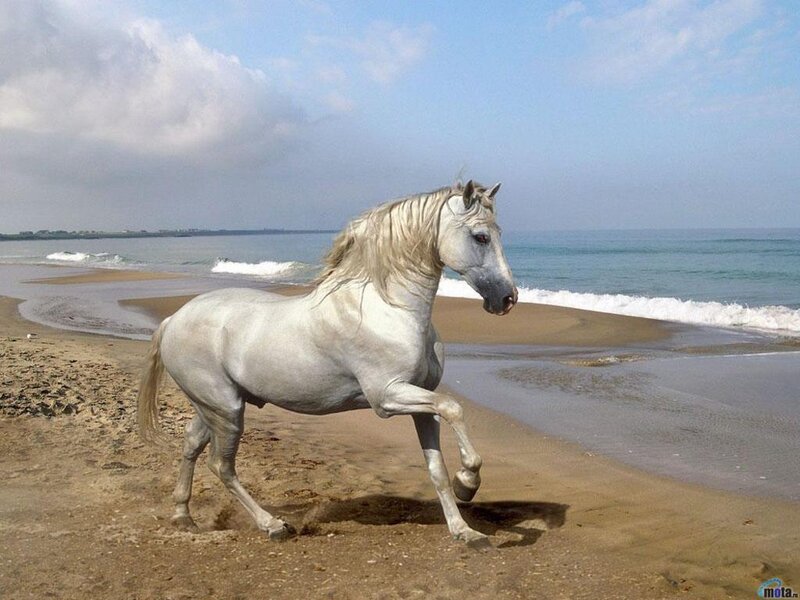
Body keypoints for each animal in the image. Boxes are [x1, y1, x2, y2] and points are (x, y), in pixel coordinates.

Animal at [137, 180, 517, 545]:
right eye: (480, 236)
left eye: (498, 232)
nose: (507, 298)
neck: (387, 308)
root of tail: (173, 319)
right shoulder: (387, 397)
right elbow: (454, 408)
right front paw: (468, 482)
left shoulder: (421, 402)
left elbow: (437, 468)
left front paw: (465, 531)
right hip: (227, 409)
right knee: (221, 465)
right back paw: (273, 525)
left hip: (214, 406)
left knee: (191, 444)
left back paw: (183, 516)